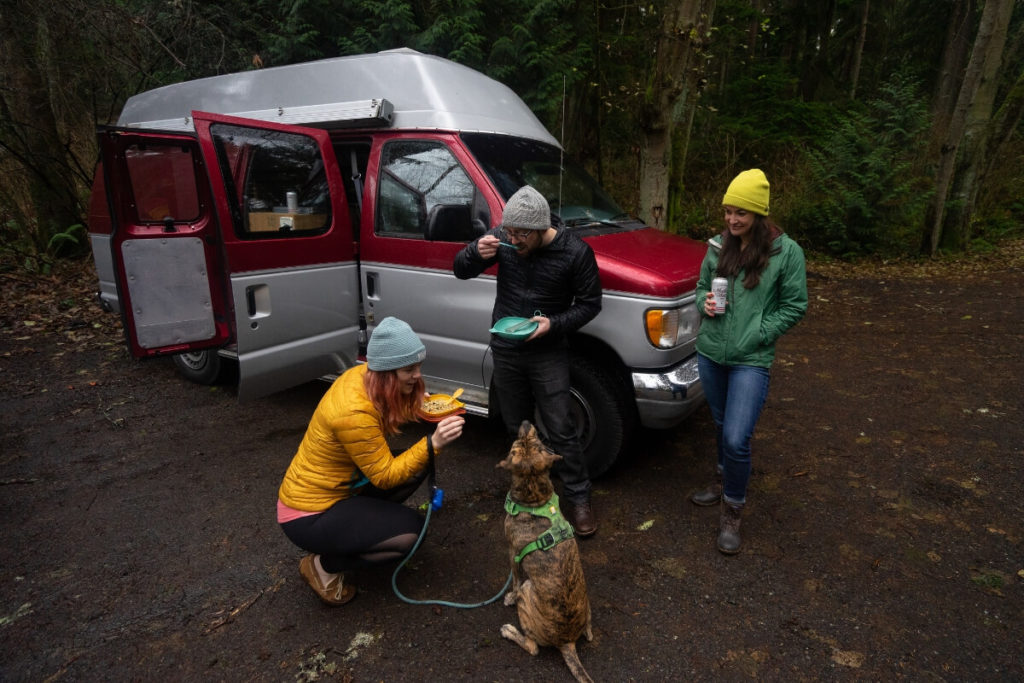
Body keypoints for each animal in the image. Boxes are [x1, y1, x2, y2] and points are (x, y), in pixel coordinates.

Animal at [495, 419, 593, 679]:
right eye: (536, 443)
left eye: (514, 446)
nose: (526, 421)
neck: (535, 499)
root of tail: (567, 642)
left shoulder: (512, 553)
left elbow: (515, 580)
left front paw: (509, 597)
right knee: (590, 634)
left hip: (528, 593)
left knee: (533, 648)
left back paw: (510, 631)